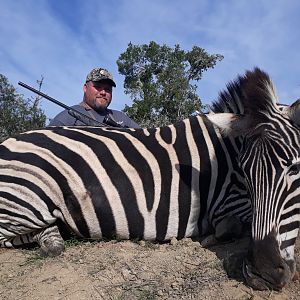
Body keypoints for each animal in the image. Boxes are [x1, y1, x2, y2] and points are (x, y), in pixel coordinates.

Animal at [0, 67, 298, 290]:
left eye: (294, 169)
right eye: (244, 172)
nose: (264, 274)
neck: (224, 153)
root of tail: (7, 143)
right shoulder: (228, 203)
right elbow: (232, 225)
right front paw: (211, 237)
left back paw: (54, 238)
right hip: (25, 202)